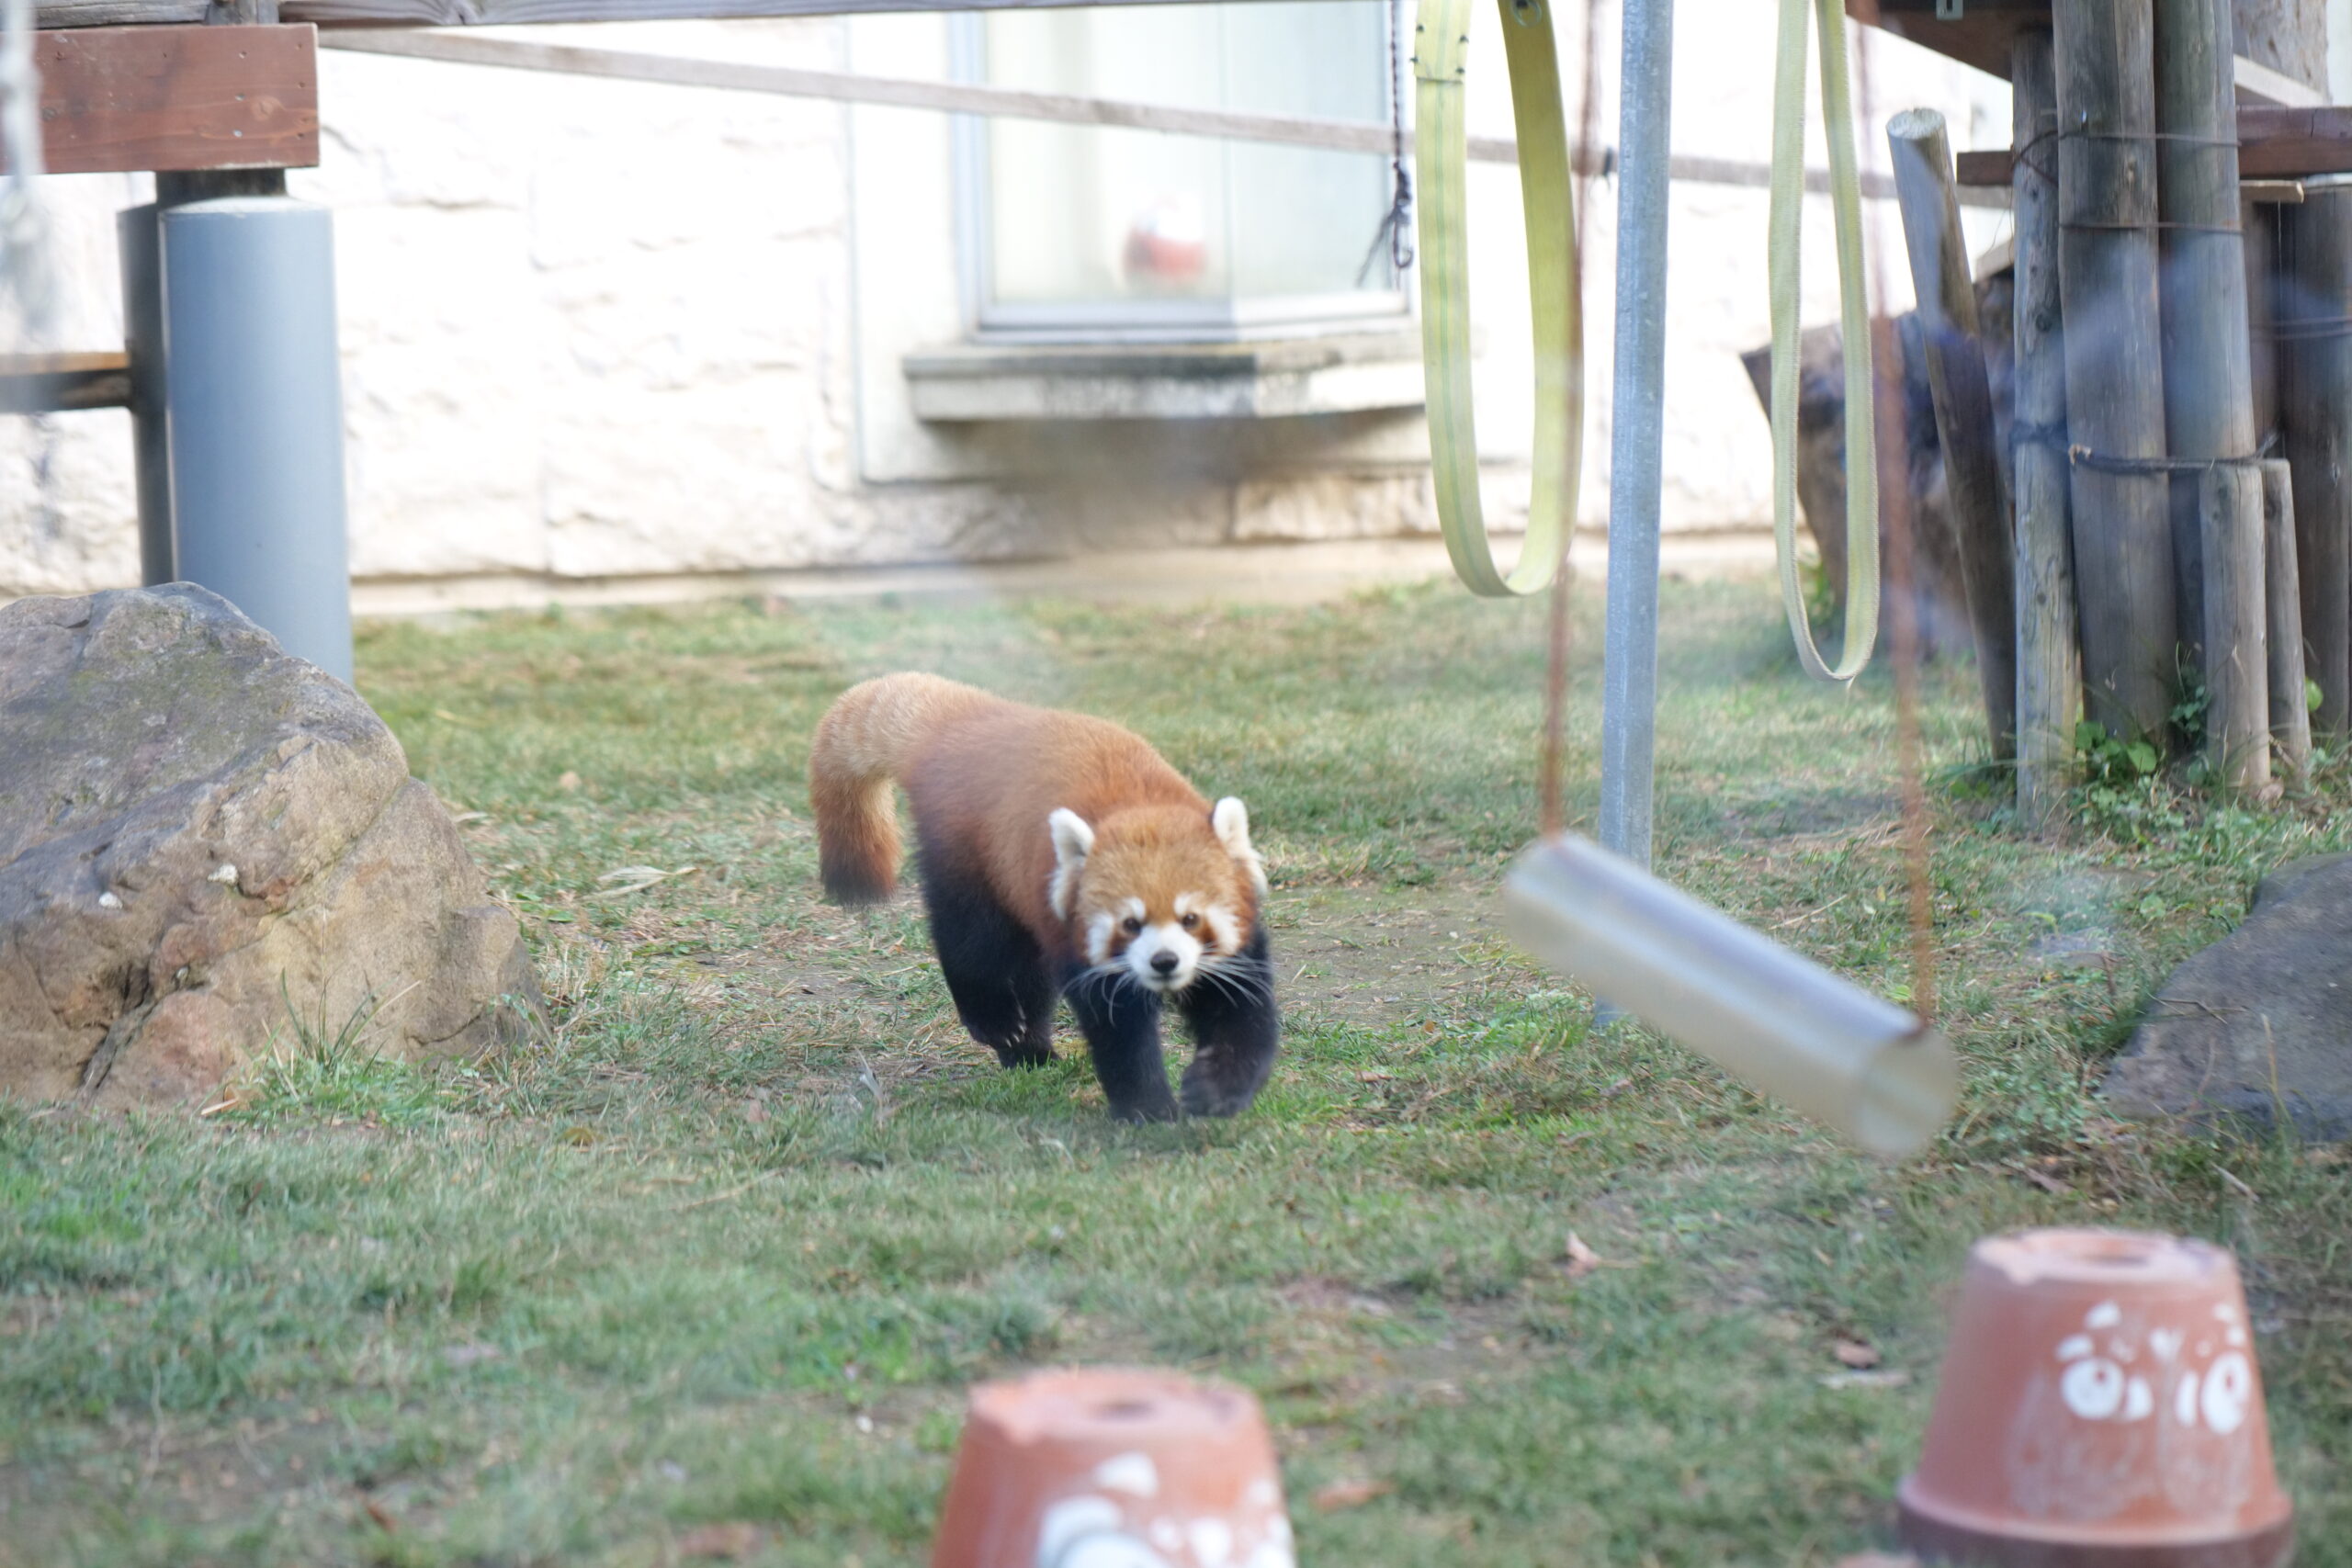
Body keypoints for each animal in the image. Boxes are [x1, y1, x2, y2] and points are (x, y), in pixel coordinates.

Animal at [813, 667, 1288, 1123]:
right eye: (1129, 924)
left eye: (1190, 918)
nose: (1164, 961)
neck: (1141, 808)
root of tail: (976, 719)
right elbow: (1120, 1033)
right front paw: (1147, 1107)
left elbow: (1243, 1016)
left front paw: (1217, 1091)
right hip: (967, 857)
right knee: (970, 942)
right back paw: (996, 1022)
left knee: (1031, 974)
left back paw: (1030, 1050)